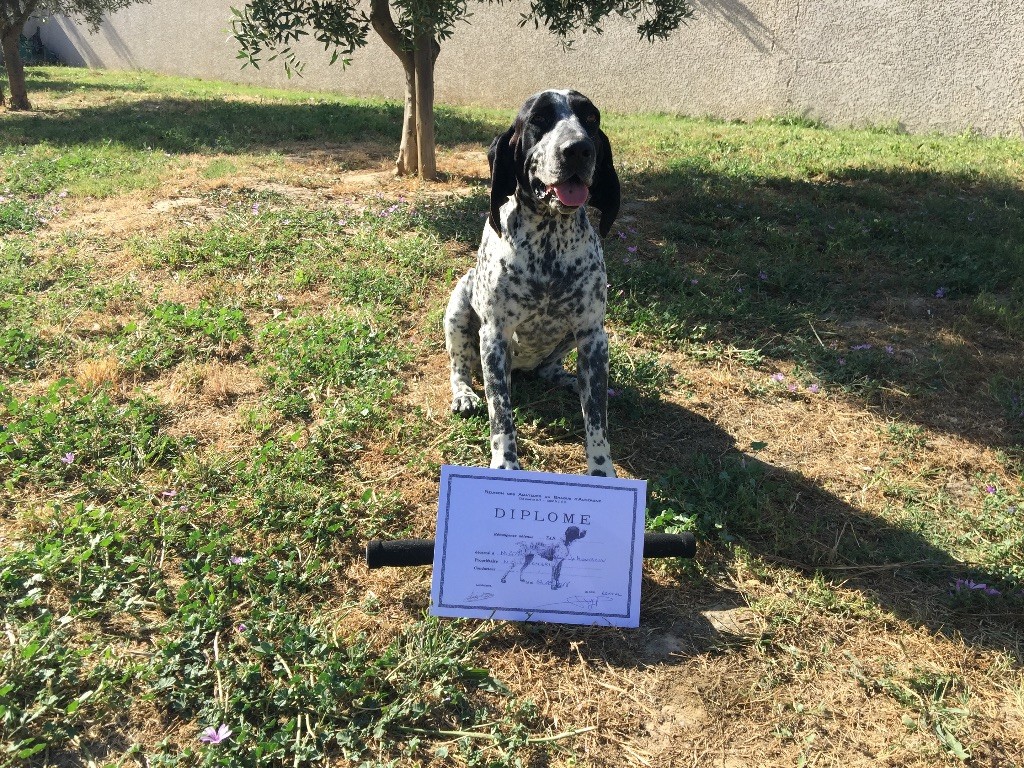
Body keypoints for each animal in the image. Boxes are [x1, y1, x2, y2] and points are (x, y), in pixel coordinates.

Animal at [444, 88, 618, 475]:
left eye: (591, 118)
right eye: (539, 118)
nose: (578, 149)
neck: (549, 244)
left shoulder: (593, 336)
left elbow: (597, 417)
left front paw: (601, 470)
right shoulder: (494, 335)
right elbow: (500, 415)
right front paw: (505, 463)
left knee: (547, 370)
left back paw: (568, 379)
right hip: (458, 310)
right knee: (461, 369)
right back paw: (464, 394)